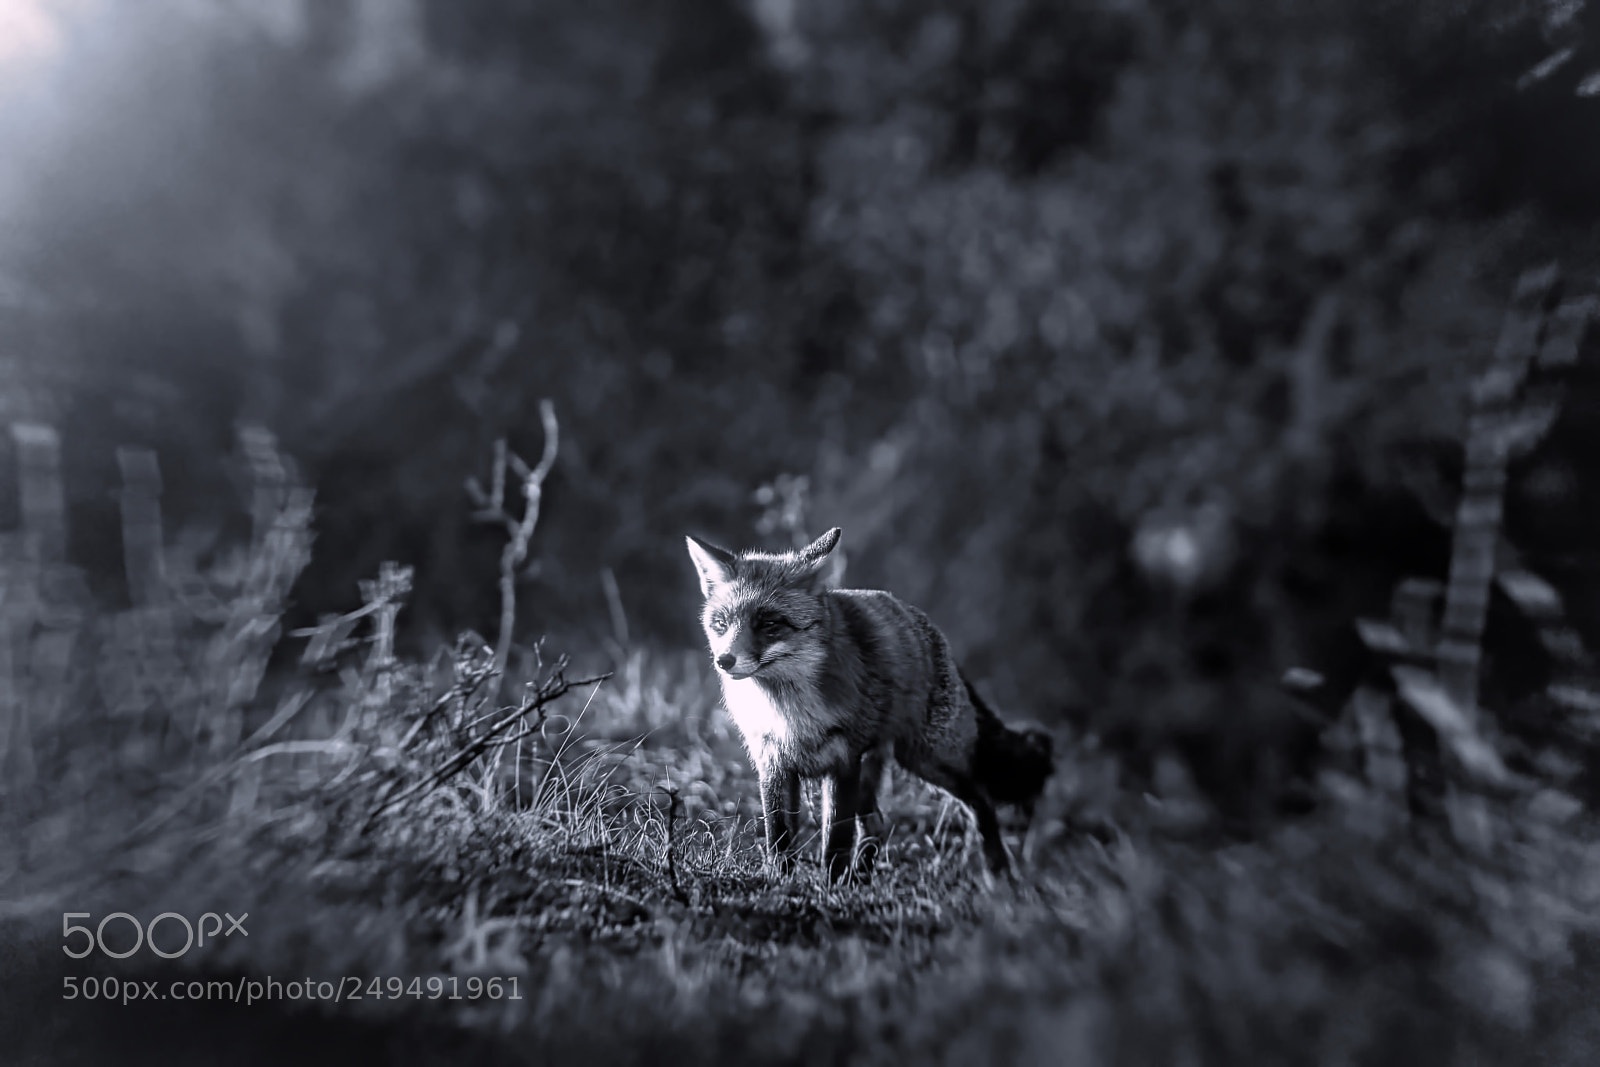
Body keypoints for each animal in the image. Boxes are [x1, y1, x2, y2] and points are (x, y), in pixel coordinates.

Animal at [686, 526, 1054, 882]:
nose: (724, 660)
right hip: (880, 770)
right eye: (721, 624)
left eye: (769, 624)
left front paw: (830, 888)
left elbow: (835, 838)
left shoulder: (844, 760)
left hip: (927, 758)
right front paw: (778, 882)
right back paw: (861, 878)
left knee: (980, 800)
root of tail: (933, 633)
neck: (789, 713)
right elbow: (778, 837)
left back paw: (997, 873)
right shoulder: (773, 762)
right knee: (876, 822)